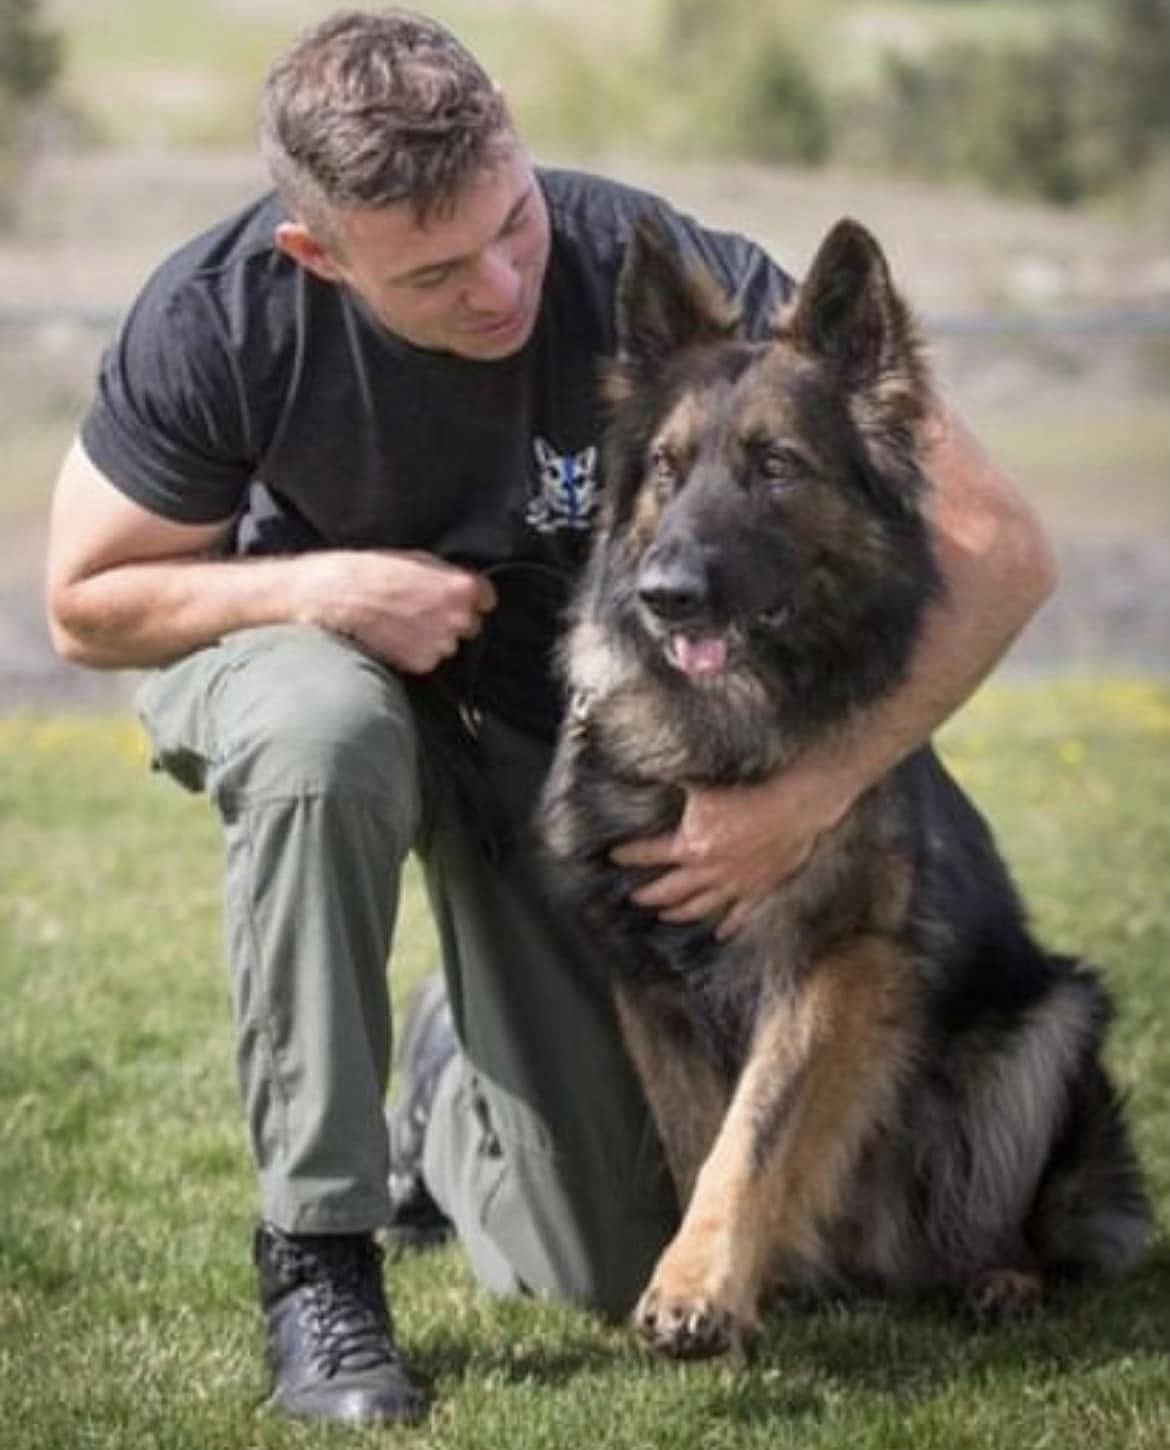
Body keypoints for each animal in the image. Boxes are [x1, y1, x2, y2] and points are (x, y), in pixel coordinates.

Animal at [542, 217, 1154, 1357]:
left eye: (774, 466)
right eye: (666, 468)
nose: (664, 593)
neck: (722, 734)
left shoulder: (836, 957)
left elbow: (754, 1135)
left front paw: (699, 1289)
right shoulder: (646, 978)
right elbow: (699, 1138)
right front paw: (714, 1289)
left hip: (1053, 1021)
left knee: (1017, 1220)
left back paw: (998, 1275)